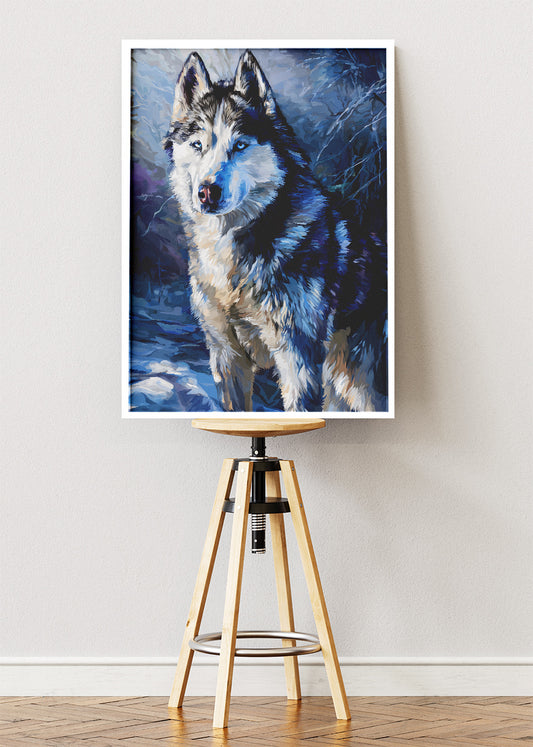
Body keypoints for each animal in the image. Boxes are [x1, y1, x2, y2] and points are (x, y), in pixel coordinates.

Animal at [163, 50, 388, 412]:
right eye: (198, 145)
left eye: (240, 146)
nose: (207, 192)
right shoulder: (226, 356)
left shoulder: (297, 357)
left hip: (357, 385)